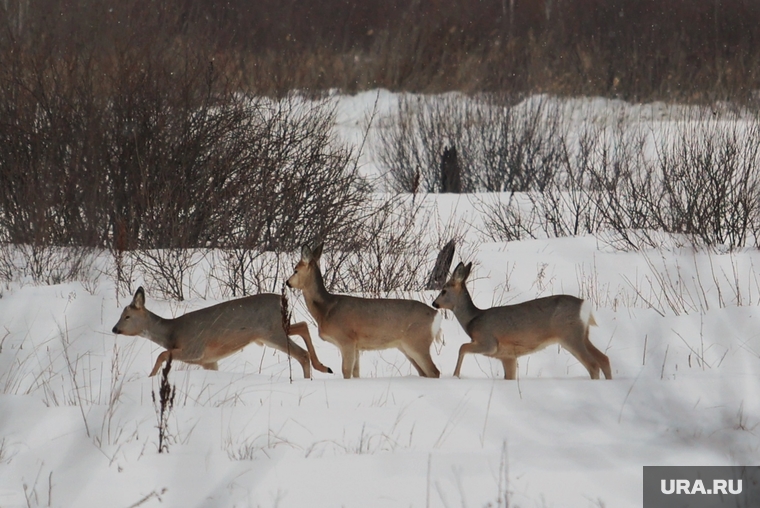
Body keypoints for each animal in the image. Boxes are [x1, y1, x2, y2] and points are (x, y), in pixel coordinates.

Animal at [111, 288, 332, 376]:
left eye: (127, 316)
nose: (114, 328)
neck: (171, 332)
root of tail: (282, 299)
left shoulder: (195, 348)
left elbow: (162, 354)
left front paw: (151, 376)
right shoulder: (209, 361)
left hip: (272, 332)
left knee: (302, 354)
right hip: (278, 329)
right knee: (303, 325)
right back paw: (323, 367)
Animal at [284, 244, 440, 380]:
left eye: (295, 270)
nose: (287, 282)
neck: (326, 309)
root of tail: (435, 315)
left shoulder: (346, 339)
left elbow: (346, 370)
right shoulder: (357, 346)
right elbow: (356, 372)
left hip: (417, 342)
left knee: (434, 371)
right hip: (405, 347)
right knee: (424, 372)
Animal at [434, 264, 612, 380]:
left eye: (443, 291)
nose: (434, 303)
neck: (472, 319)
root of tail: (584, 305)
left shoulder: (489, 342)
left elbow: (462, 347)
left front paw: (455, 375)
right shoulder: (507, 356)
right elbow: (509, 376)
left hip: (569, 335)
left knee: (593, 365)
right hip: (582, 335)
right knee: (604, 359)